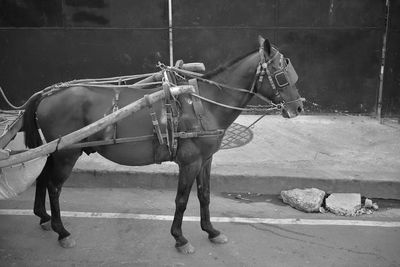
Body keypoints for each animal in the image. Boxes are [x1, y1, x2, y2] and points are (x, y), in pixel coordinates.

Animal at [21, 34, 304, 254]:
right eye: (281, 74)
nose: (298, 107)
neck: (204, 104)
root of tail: (47, 94)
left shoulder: (206, 159)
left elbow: (204, 195)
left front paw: (211, 231)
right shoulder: (190, 162)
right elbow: (181, 200)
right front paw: (180, 238)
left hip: (54, 152)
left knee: (42, 178)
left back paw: (44, 217)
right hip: (67, 154)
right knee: (54, 187)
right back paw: (62, 231)